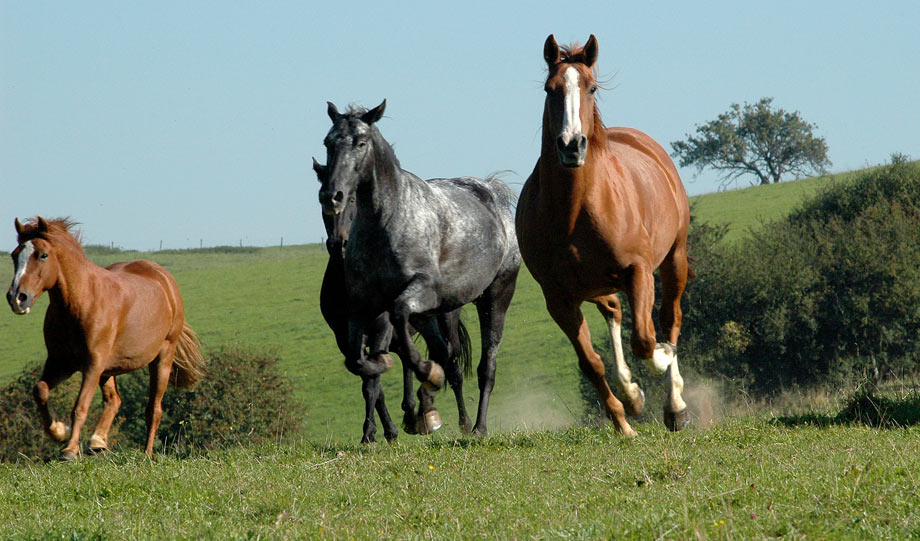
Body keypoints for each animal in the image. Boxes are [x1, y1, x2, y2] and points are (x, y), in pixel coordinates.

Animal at [5, 217, 205, 458]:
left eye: (43, 255)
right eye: (14, 255)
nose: (17, 298)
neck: (80, 303)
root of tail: (165, 279)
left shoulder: (92, 363)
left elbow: (80, 406)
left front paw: (69, 450)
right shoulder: (60, 362)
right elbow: (40, 391)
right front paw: (60, 432)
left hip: (162, 357)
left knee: (153, 409)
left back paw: (146, 453)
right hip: (108, 368)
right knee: (114, 400)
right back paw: (97, 442)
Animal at [312, 158, 478, 440]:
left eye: (354, 199)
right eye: (322, 202)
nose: (338, 244)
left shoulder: (381, 328)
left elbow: (372, 384)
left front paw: (371, 432)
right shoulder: (346, 340)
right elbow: (373, 382)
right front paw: (386, 431)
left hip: (445, 322)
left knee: (452, 366)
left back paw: (461, 421)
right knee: (412, 363)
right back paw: (414, 414)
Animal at [516, 34, 688, 434]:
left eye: (591, 88)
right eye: (550, 89)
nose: (571, 145)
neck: (574, 211)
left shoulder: (638, 273)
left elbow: (645, 340)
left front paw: (659, 362)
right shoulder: (558, 298)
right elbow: (591, 362)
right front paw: (625, 418)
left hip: (674, 259)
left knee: (669, 320)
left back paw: (675, 406)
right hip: (596, 285)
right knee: (614, 312)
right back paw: (631, 392)